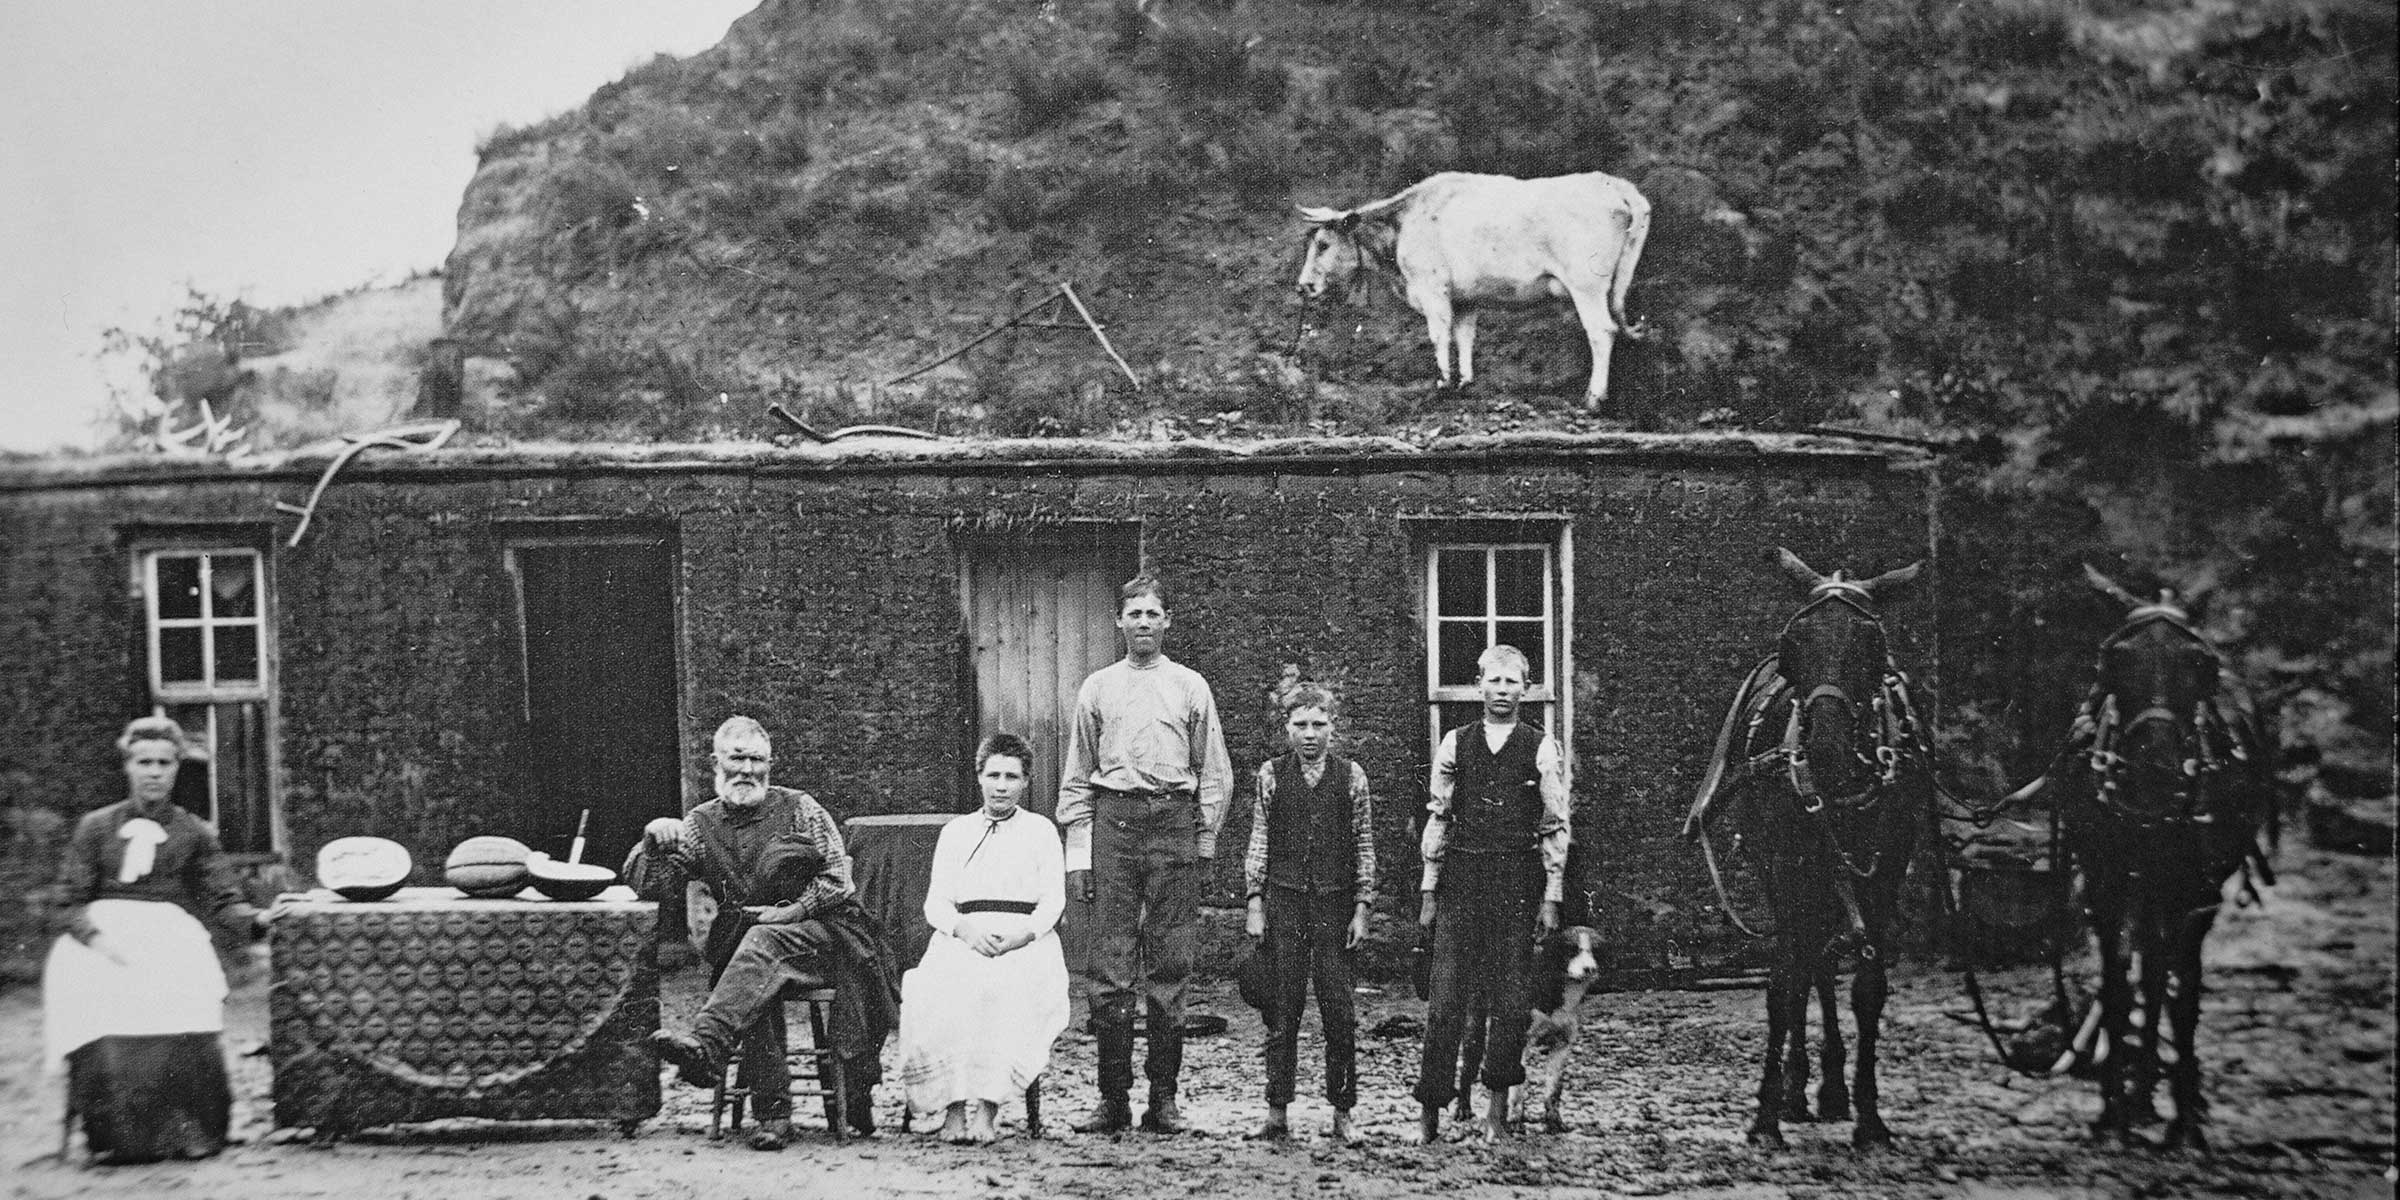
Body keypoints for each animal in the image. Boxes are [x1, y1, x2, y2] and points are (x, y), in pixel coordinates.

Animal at [1296, 171, 1651, 410]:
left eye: (1323, 244)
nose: (1303, 286)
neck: (1405, 222)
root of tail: (1612, 183)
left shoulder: (1432, 289)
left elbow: (1439, 336)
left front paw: (1442, 383)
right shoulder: (1466, 299)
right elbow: (1464, 336)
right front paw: (1464, 382)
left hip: (1586, 285)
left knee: (1601, 331)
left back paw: (1593, 398)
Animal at [1689, 549, 1929, 1147]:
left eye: (1871, 642)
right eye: (1794, 640)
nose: (1825, 747)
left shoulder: (1884, 874)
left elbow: (1868, 988)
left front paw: (1869, 1116)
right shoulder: (1785, 869)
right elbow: (1784, 986)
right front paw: (1766, 1114)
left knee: (1821, 961)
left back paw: (1832, 1092)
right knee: (1807, 966)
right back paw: (1800, 1092)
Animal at [2016, 566, 2275, 1147]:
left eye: (2201, 664)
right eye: (2112, 660)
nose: (2156, 772)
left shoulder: (2196, 896)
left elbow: (2182, 996)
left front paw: (2185, 1122)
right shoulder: (2105, 884)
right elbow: (2116, 987)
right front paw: (2113, 1110)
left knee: (2165, 975)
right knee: (2147, 973)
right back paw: (2140, 1097)